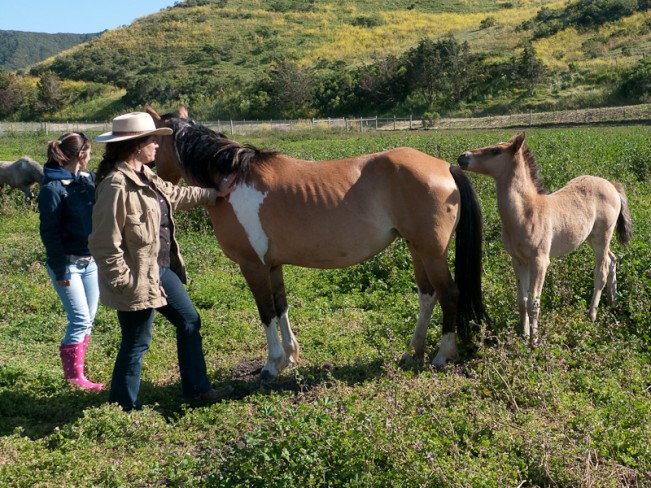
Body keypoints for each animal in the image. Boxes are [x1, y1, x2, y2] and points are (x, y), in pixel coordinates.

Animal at [146, 105, 486, 380]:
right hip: (417, 249)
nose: (153, 175)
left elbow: (266, 312)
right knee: (428, 296)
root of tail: (445, 167)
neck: (232, 180)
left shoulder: (252, 265)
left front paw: (271, 365)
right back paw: (413, 352)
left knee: (449, 294)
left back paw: (442, 355)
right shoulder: (272, 265)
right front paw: (290, 357)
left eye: (155, 143)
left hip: (431, 252)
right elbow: (281, 307)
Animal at [458, 132, 632, 346]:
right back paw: (613, 302)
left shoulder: (540, 261)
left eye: (495, 150)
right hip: (592, 237)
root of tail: (612, 186)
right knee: (612, 260)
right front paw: (523, 335)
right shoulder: (518, 260)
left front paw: (534, 342)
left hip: (602, 236)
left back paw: (592, 315)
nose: (463, 157)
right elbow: (522, 301)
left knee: (601, 271)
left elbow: (534, 302)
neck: (526, 212)